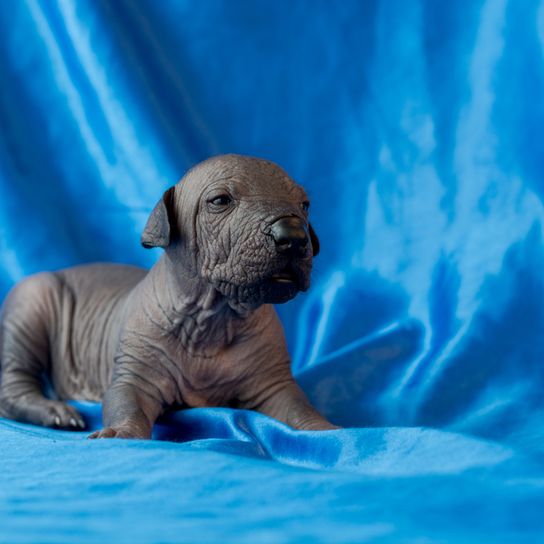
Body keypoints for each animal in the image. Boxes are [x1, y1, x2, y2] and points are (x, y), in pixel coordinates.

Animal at [0, 153, 336, 438]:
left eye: (305, 205)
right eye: (220, 201)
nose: (293, 235)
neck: (211, 319)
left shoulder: (274, 384)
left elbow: (299, 408)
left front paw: (329, 431)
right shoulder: (135, 378)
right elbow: (127, 404)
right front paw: (121, 432)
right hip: (32, 303)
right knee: (12, 385)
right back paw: (54, 411)